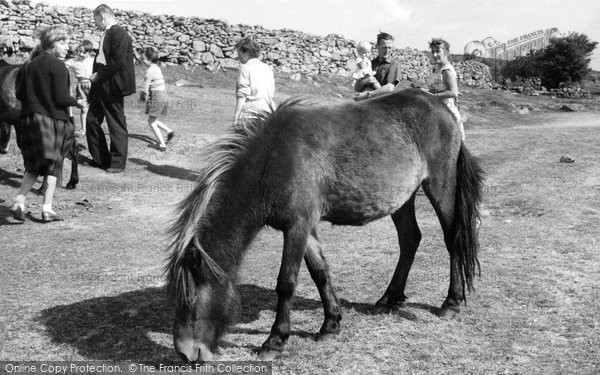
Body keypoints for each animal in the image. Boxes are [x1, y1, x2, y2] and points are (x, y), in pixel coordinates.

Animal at [166, 89, 486, 364]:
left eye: (190, 297)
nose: (184, 352)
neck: (273, 159)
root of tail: (441, 107)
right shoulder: (304, 227)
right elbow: (320, 272)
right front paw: (331, 324)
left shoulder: (297, 225)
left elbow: (286, 282)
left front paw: (275, 339)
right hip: (403, 200)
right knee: (410, 240)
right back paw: (387, 300)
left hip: (441, 187)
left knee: (452, 239)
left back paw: (451, 302)